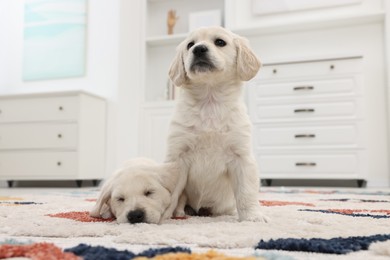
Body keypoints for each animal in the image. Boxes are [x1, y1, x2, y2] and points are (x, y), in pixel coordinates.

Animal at [166, 25, 266, 221]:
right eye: (190, 45)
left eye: (220, 42)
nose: (198, 49)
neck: (209, 100)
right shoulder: (177, 155)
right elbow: (171, 191)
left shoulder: (241, 156)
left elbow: (247, 192)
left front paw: (252, 216)